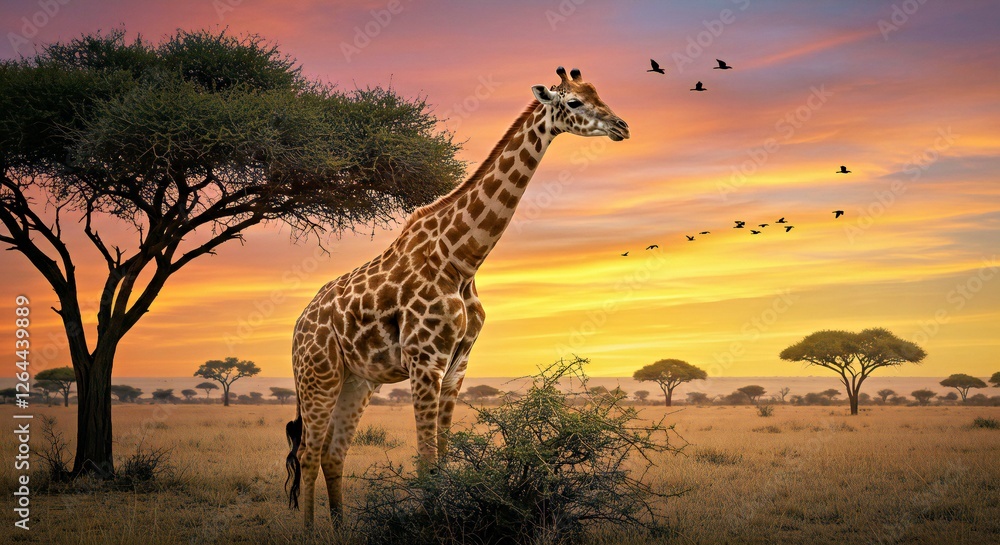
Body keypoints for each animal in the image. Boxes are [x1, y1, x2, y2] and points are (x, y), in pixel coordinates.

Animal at [285, 66, 630, 528]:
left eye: (599, 94)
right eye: (574, 102)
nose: (622, 126)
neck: (461, 260)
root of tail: (298, 327)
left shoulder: (456, 365)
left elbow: (443, 461)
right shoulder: (424, 361)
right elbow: (426, 462)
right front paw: (431, 525)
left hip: (356, 381)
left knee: (331, 454)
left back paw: (339, 530)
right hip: (317, 375)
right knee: (307, 452)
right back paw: (309, 530)